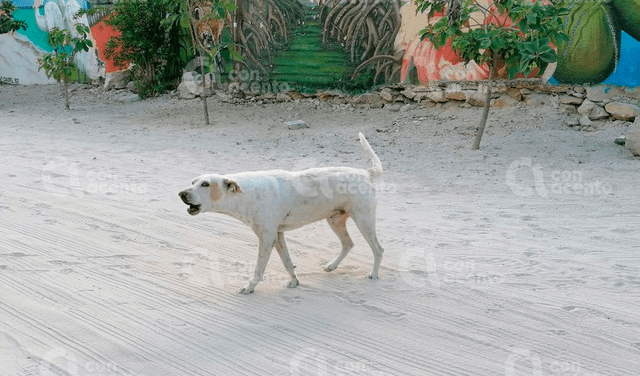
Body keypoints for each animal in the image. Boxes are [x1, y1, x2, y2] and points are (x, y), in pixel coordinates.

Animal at [178, 132, 382, 294]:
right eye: (193, 182)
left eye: (205, 184)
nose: (181, 194)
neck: (247, 194)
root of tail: (366, 173)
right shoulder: (278, 236)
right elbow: (287, 262)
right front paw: (294, 282)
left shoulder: (267, 238)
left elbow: (258, 268)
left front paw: (250, 287)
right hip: (335, 221)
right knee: (348, 244)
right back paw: (332, 265)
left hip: (364, 221)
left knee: (378, 249)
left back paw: (373, 274)